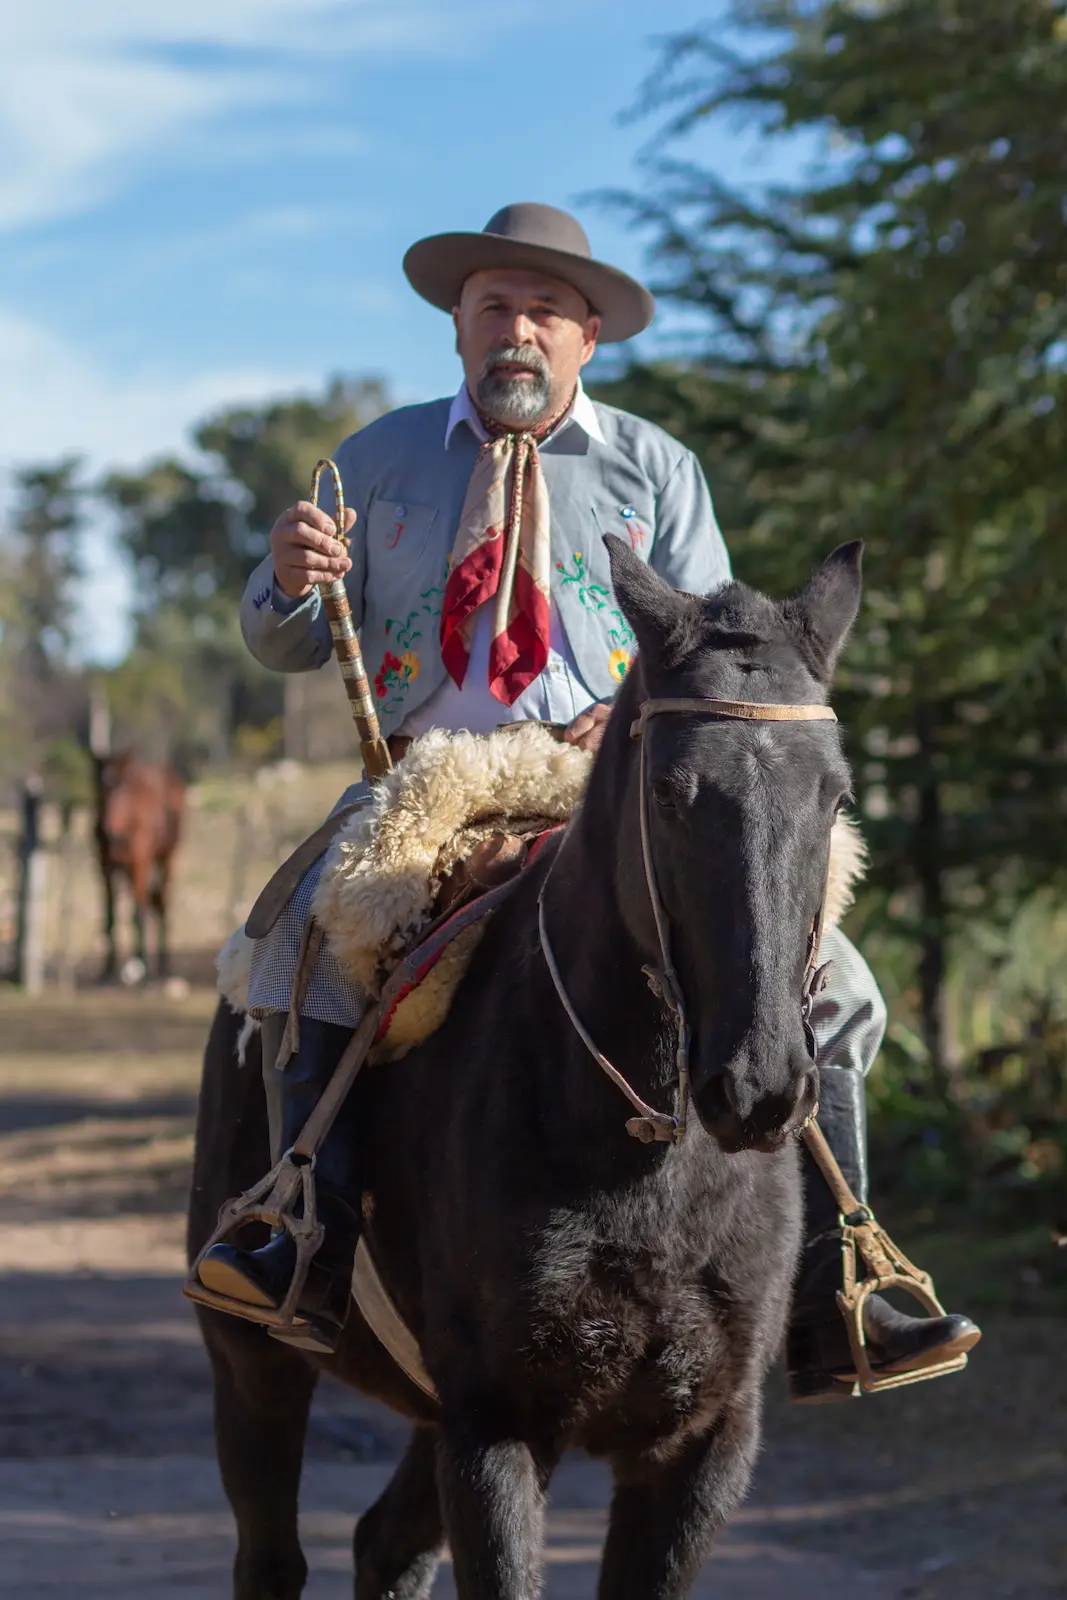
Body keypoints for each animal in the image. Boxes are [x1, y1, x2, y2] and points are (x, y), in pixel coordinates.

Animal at [92, 751, 185, 981]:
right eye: (100, 789)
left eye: (125, 790)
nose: (110, 835)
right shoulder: (106, 870)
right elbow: (110, 916)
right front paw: (108, 972)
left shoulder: (139, 865)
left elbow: (139, 913)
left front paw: (142, 969)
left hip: (164, 861)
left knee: (160, 903)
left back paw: (162, 968)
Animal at [187, 536, 863, 1600]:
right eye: (669, 792)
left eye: (834, 797)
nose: (757, 1087)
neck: (643, 1153)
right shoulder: (496, 1429)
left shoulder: (697, 1449)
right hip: (253, 1363)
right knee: (271, 1555)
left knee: (382, 1543)